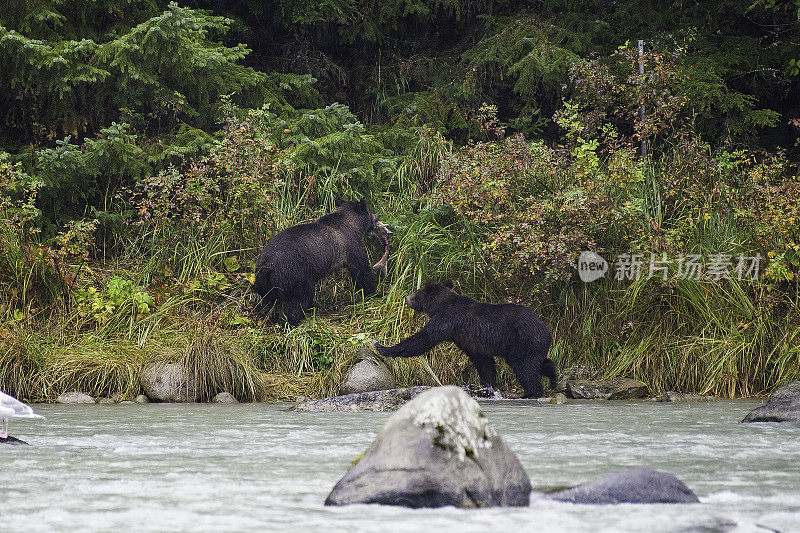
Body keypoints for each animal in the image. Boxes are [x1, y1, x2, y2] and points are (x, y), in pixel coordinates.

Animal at [372, 280, 552, 396]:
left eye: (416, 293)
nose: (406, 298)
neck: (440, 305)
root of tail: (547, 331)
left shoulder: (446, 320)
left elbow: (423, 339)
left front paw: (382, 347)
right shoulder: (470, 340)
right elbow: (483, 362)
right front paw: (487, 387)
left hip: (524, 341)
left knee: (524, 367)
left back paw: (531, 392)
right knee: (537, 364)